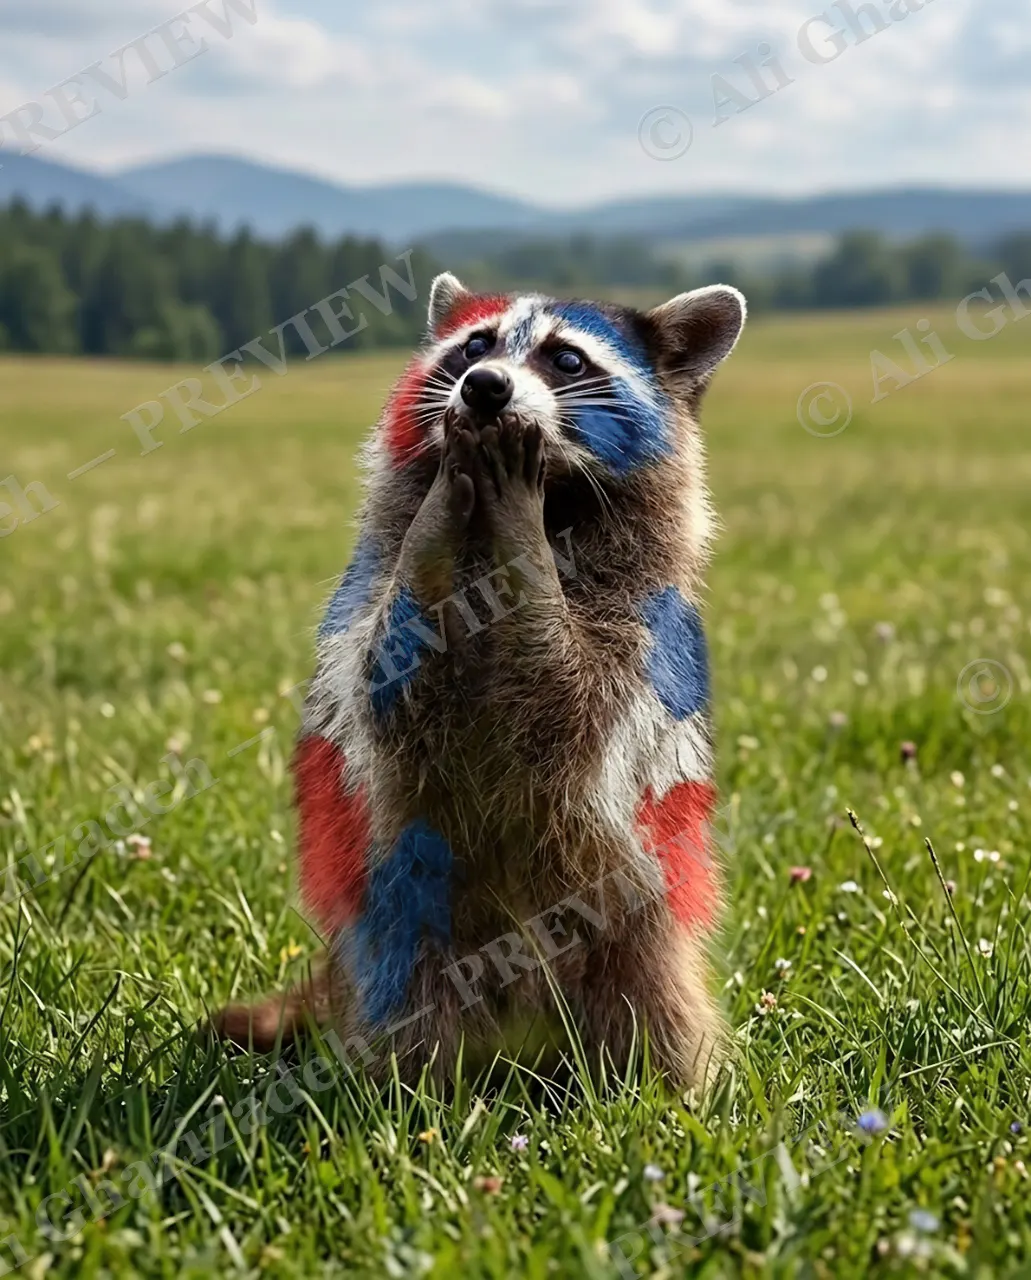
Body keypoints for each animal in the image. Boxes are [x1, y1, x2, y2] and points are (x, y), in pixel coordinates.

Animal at [214, 274, 746, 1089]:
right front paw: (434, 525)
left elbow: (567, 701)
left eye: (566, 359)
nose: (485, 386)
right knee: (407, 1016)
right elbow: (391, 684)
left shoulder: (639, 637)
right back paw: (402, 1089)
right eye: (474, 345)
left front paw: (522, 551)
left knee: (656, 1004)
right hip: (403, 920)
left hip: (629, 914)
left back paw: (670, 1086)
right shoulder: (367, 611)